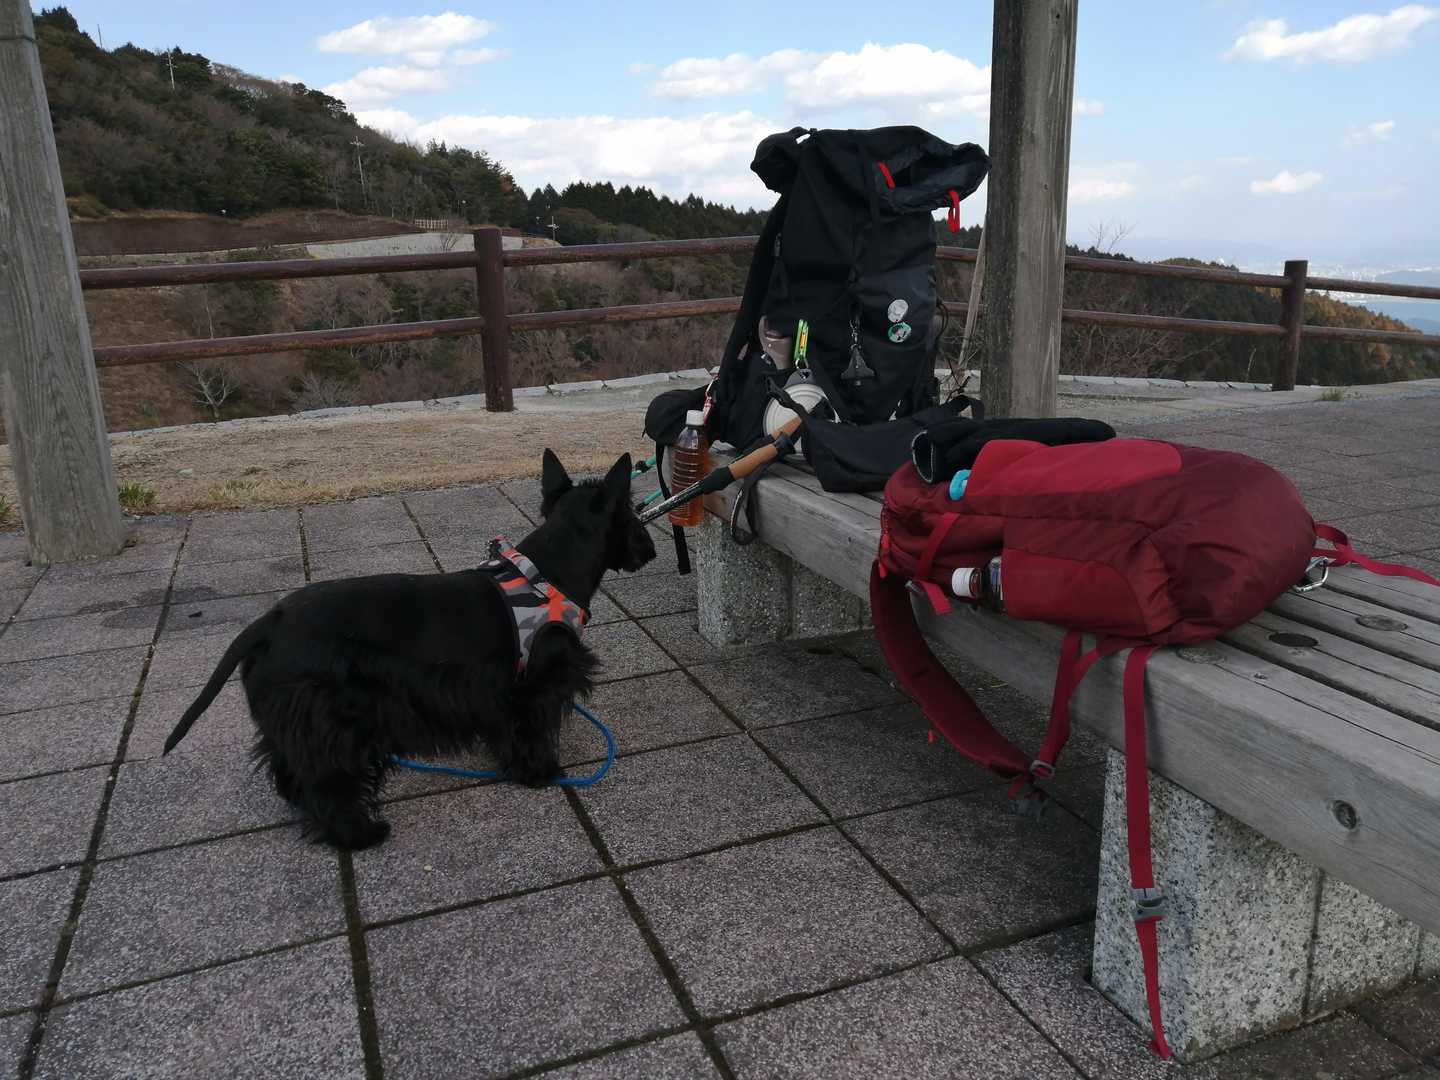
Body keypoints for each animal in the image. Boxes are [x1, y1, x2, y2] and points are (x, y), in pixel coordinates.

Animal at [164, 450, 656, 850]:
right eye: (633, 514)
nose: (650, 547)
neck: (548, 574)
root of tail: (270, 621)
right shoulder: (537, 685)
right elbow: (531, 730)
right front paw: (540, 773)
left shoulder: (497, 690)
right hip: (333, 720)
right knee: (326, 779)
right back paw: (360, 834)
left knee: (290, 768)